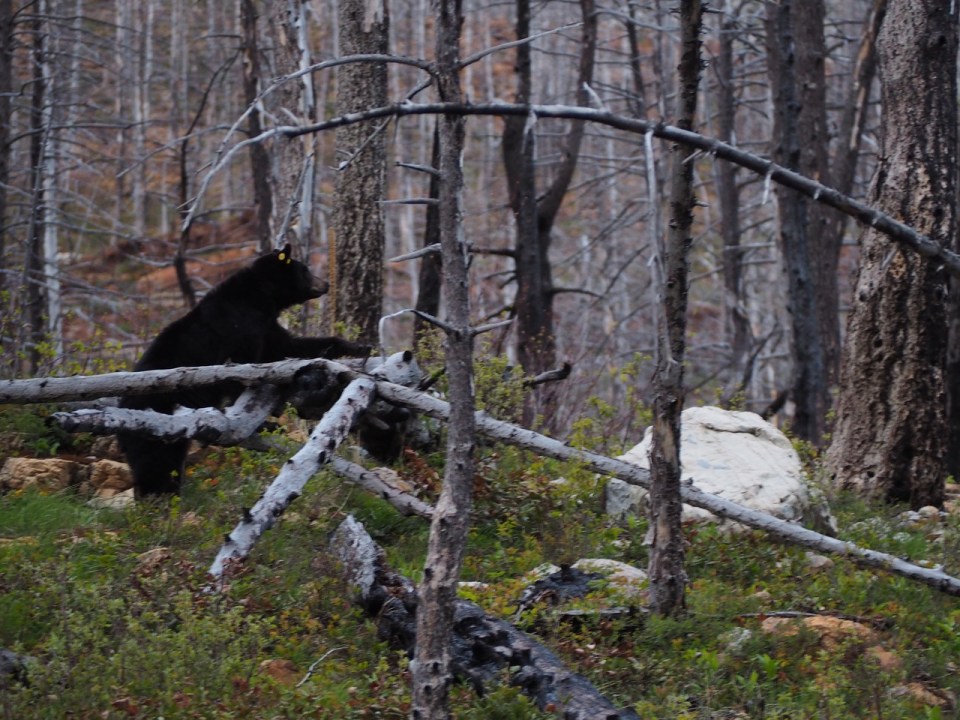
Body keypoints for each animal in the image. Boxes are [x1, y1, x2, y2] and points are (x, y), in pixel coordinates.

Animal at [119, 244, 369, 498]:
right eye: (306, 270)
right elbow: (241, 373)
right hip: (158, 419)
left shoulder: (266, 327)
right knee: (156, 463)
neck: (259, 298)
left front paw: (357, 346)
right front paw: (267, 422)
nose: (325, 284)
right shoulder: (239, 329)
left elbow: (289, 347)